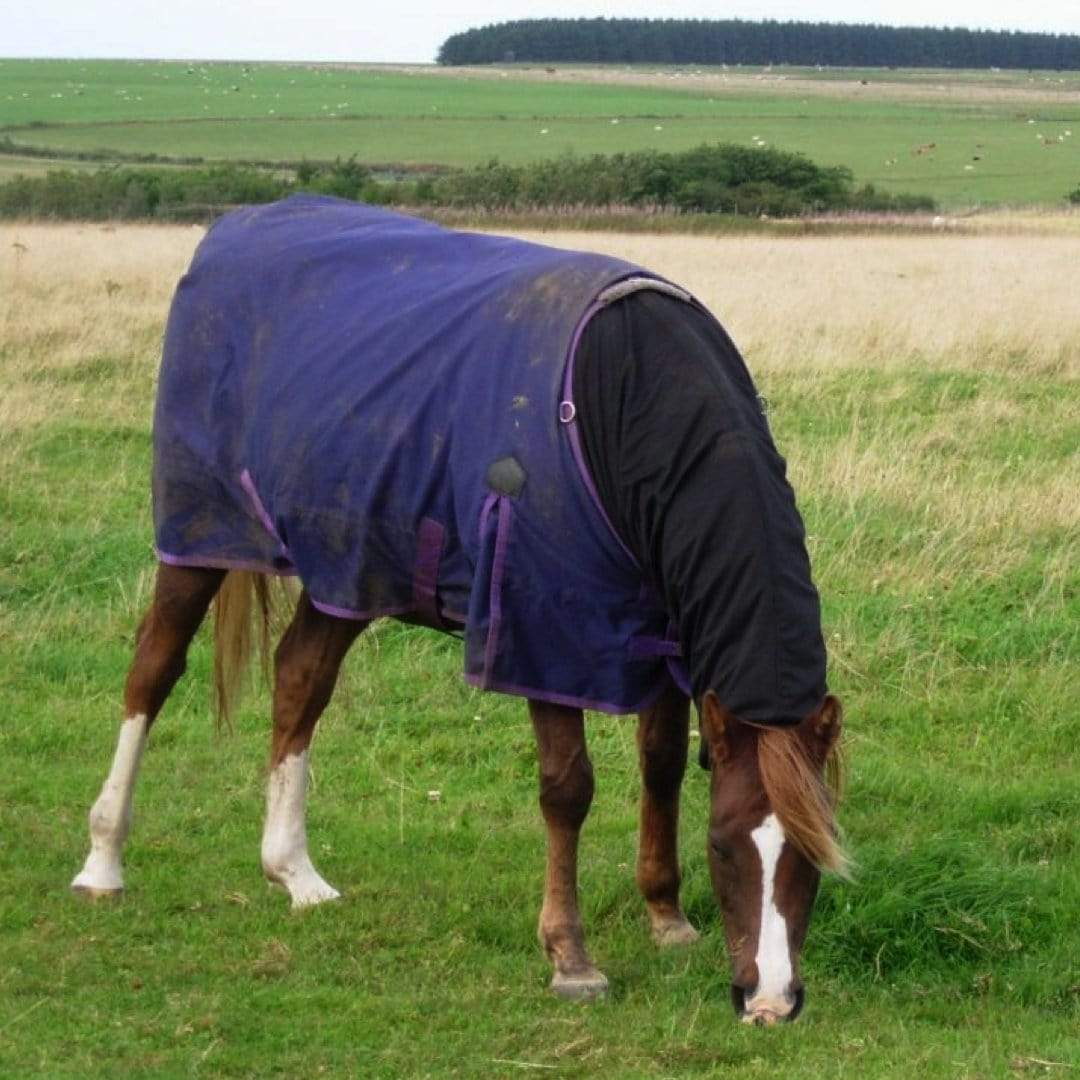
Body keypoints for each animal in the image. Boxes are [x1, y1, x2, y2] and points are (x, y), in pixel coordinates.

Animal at [72, 196, 847, 1025]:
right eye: (725, 846)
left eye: (816, 852)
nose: (770, 1002)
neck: (622, 400)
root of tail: (234, 226)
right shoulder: (541, 632)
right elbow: (568, 790)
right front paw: (570, 957)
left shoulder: (667, 626)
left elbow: (663, 762)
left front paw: (666, 916)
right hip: (202, 537)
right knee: (152, 670)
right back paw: (103, 861)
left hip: (347, 564)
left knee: (299, 677)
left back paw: (295, 874)